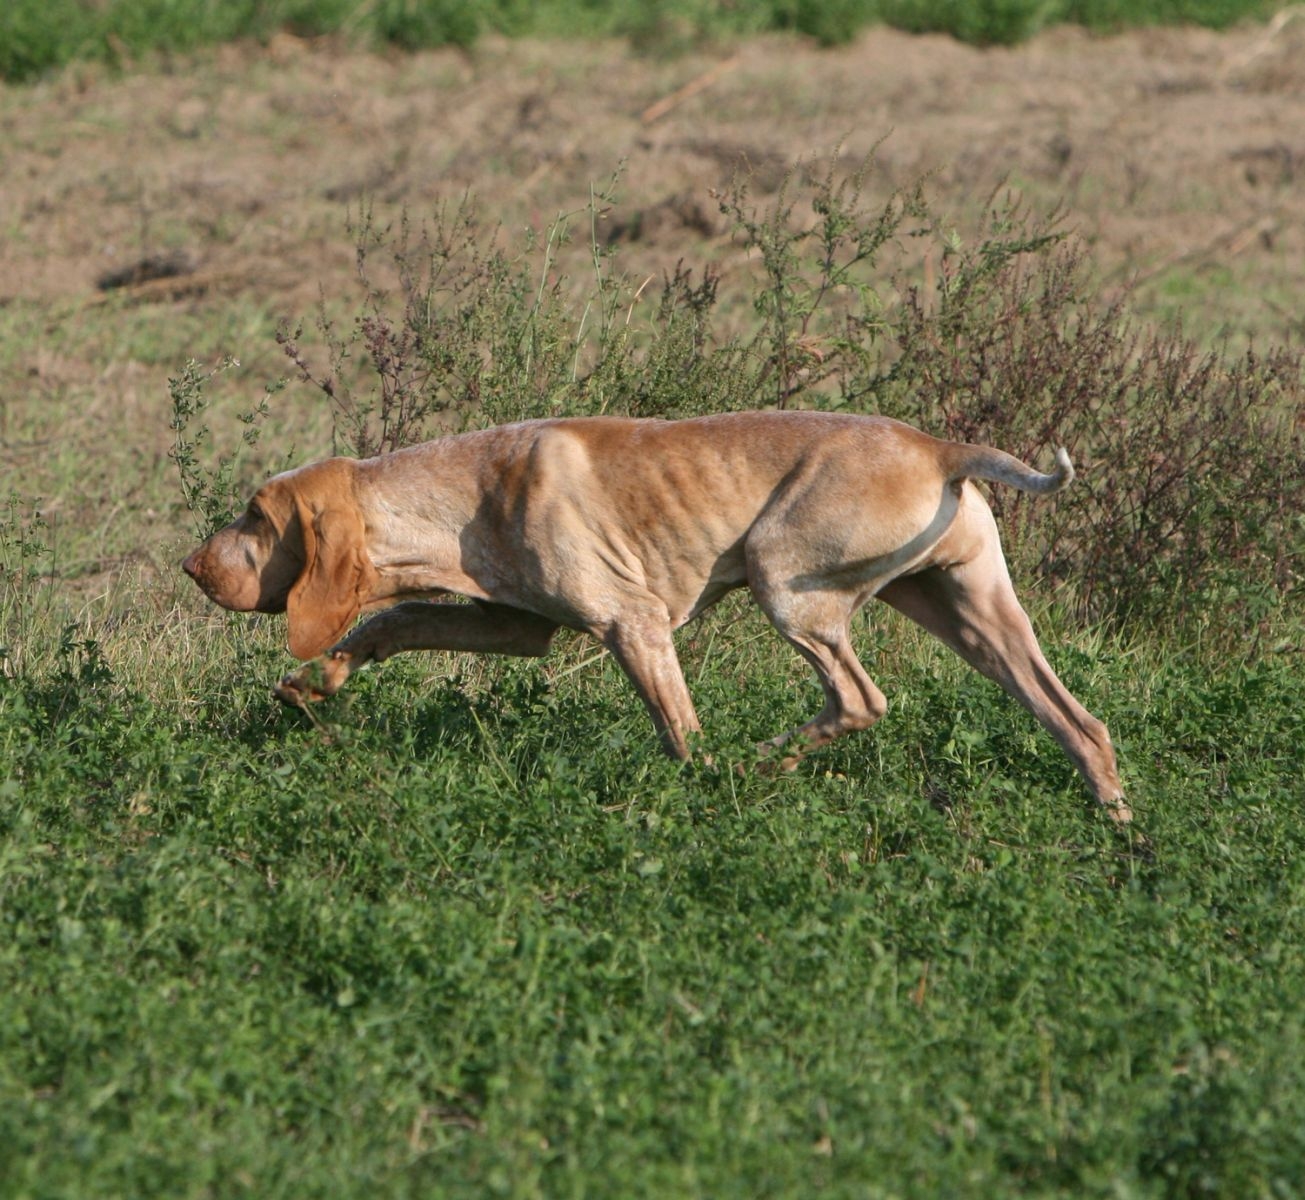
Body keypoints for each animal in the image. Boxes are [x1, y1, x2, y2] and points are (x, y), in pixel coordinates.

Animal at [178, 414, 1127, 824]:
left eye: (254, 517)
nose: (190, 566)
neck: (465, 484)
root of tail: (939, 447)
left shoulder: (630, 625)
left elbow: (676, 732)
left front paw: (688, 795)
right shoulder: (513, 624)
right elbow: (391, 621)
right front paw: (317, 681)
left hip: (785, 581)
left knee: (859, 700)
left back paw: (753, 768)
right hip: (973, 617)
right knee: (1079, 721)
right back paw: (1116, 824)